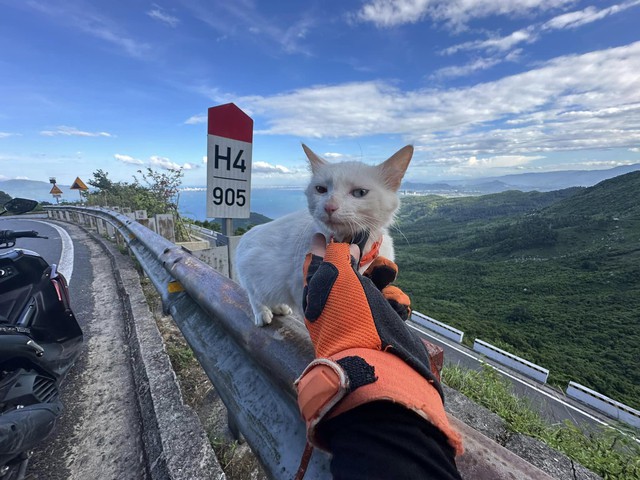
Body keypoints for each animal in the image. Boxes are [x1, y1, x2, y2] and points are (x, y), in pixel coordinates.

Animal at [234, 144, 410, 326]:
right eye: (320, 189)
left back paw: (279, 308)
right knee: (254, 296)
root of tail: (245, 236)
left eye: (360, 192)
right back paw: (262, 313)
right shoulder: (300, 291)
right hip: (253, 273)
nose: (329, 206)